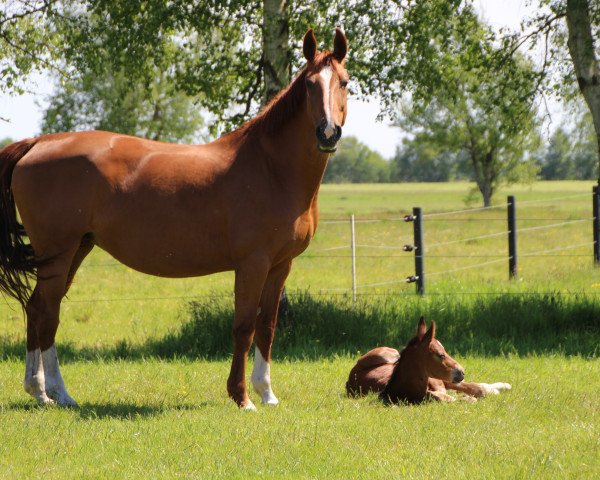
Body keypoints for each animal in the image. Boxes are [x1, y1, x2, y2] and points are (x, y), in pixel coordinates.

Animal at [0, 29, 350, 408]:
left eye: (345, 82)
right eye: (310, 84)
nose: (328, 133)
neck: (271, 168)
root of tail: (37, 144)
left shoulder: (280, 265)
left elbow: (267, 328)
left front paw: (267, 393)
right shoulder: (253, 264)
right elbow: (244, 326)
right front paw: (242, 397)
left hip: (76, 249)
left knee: (37, 309)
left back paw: (42, 391)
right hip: (58, 253)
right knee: (47, 311)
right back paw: (55, 393)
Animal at [346, 316, 510, 404]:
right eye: (441, 355)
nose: (461, 371)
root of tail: (349, 380)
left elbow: (475, 389)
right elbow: (468, 397)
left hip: (391, 354)